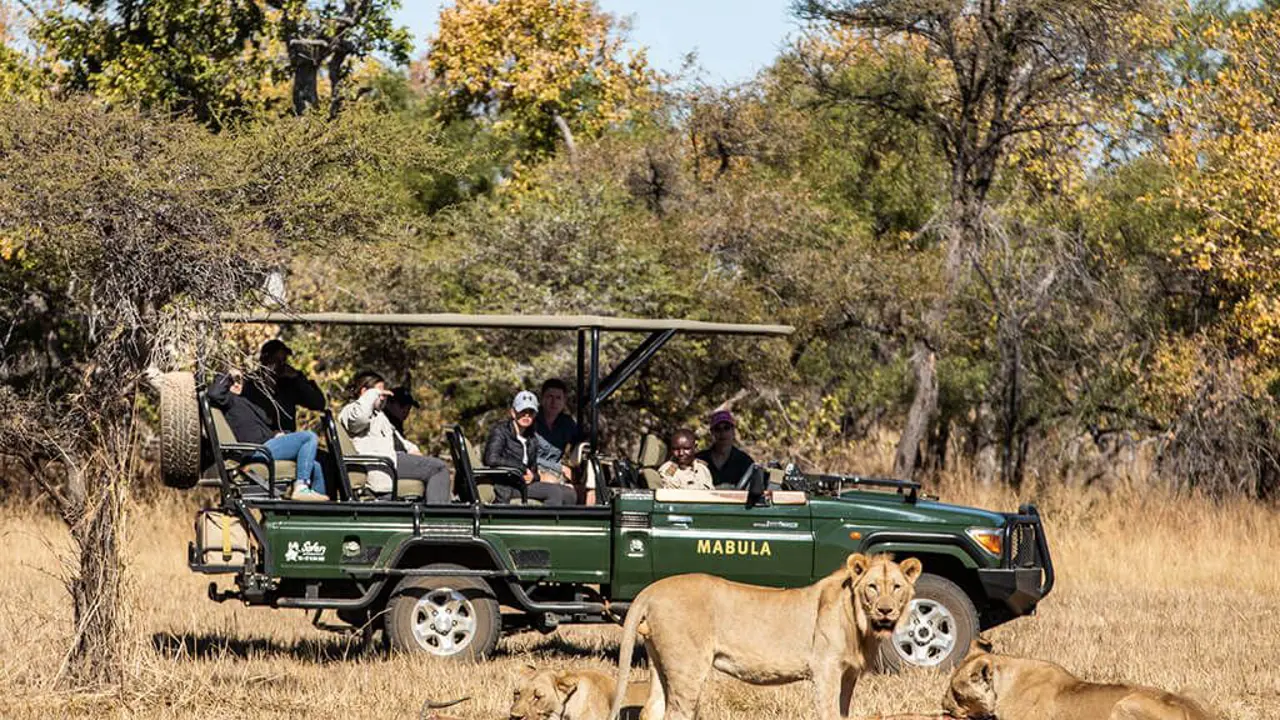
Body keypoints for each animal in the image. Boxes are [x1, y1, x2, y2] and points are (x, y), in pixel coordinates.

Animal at [609, 553, 923, 720]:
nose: (886, 610)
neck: (861, 625)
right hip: (687, 666)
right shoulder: (826, 670)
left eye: (896, 587)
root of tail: (651, 589)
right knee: (676, 713)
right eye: (872, 587)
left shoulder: (848, 674)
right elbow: (829, 713)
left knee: (652, 709)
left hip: (660, 662)